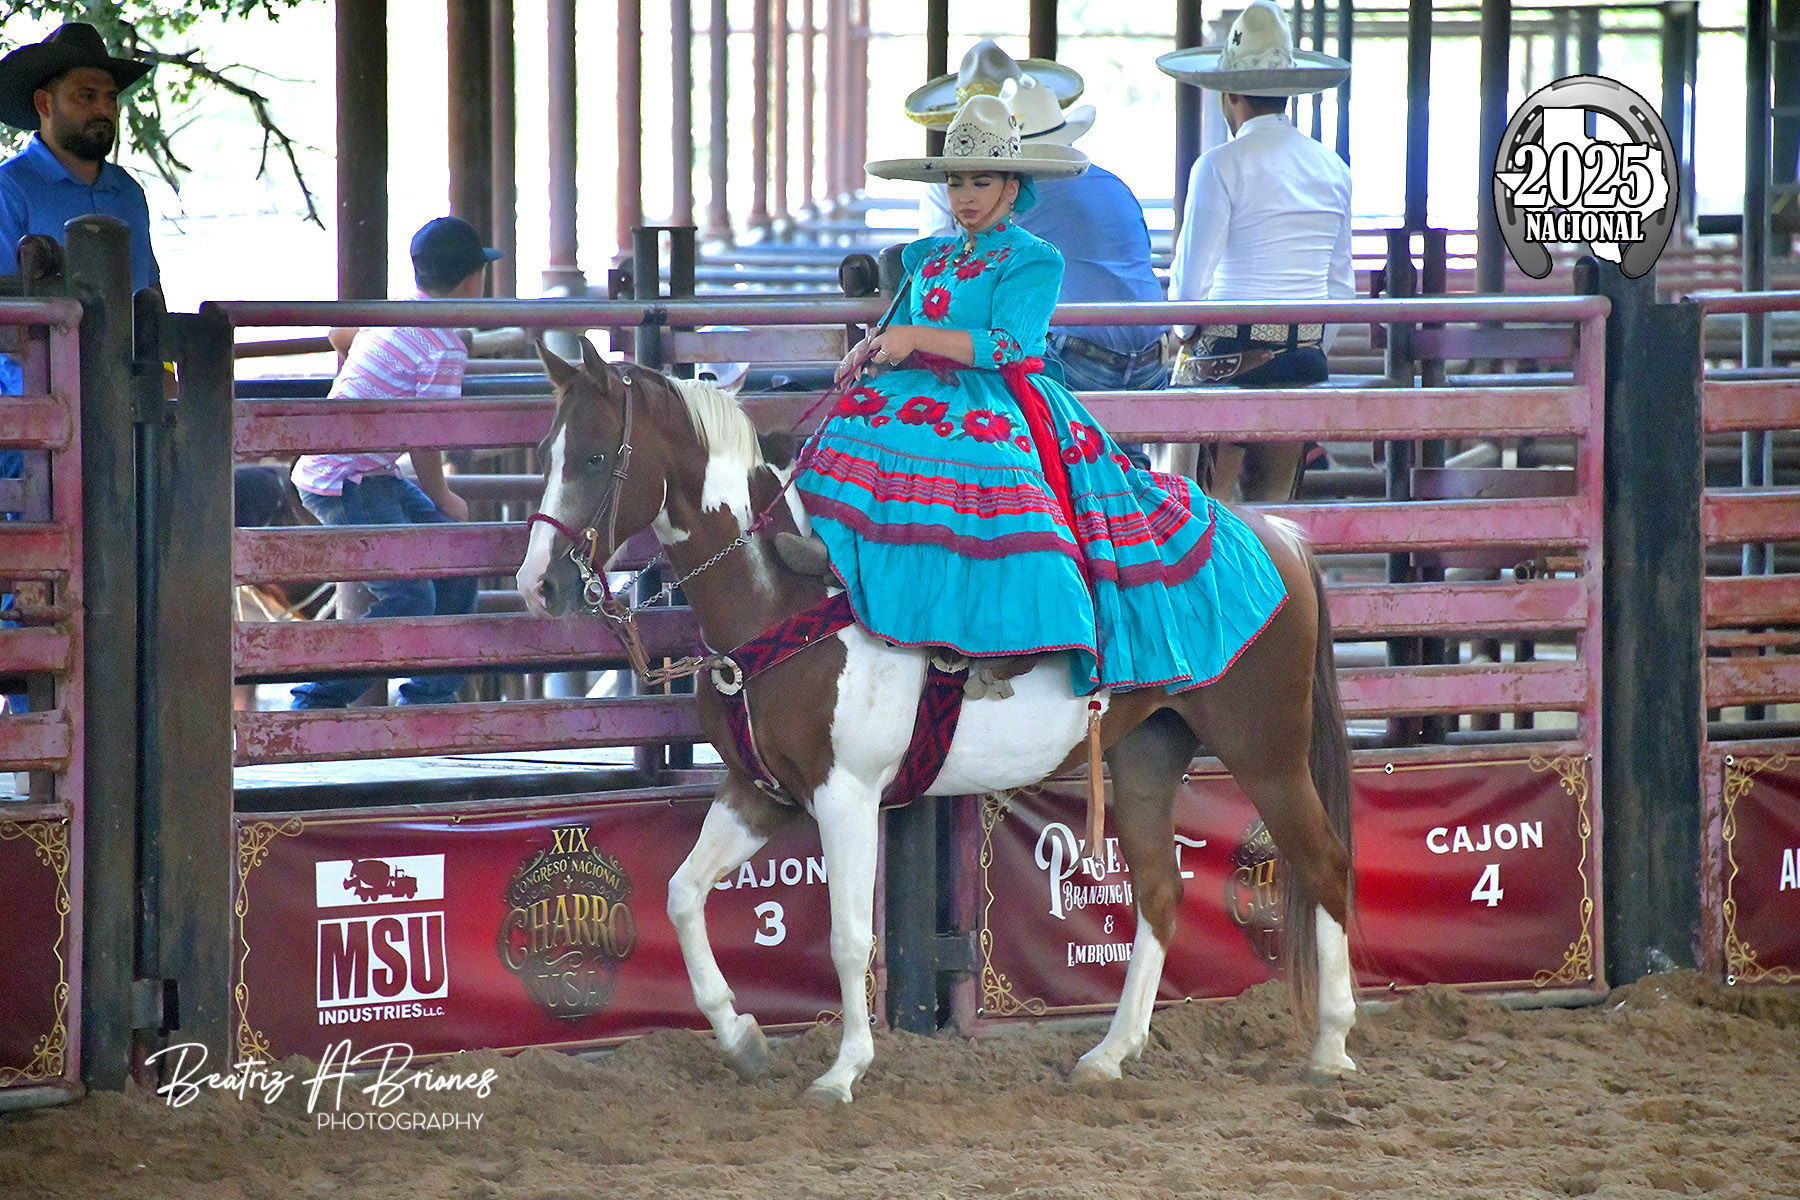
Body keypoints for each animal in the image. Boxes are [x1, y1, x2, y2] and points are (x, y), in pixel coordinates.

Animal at [516, 339, 1358, 1105]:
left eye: (594, 456)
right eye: (547, 452)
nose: (537, 585)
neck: (785, 598)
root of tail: (1278, 536)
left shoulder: (846, 794)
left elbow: (850, 939)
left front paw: (843, 1071)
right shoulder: (759, 790)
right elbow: (683, 894)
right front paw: (742, 1038)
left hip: (1267, 751)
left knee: (1324, 864)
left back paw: (1331, 1048)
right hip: (1150, 752)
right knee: (1158, 892)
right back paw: (1109, 1055)